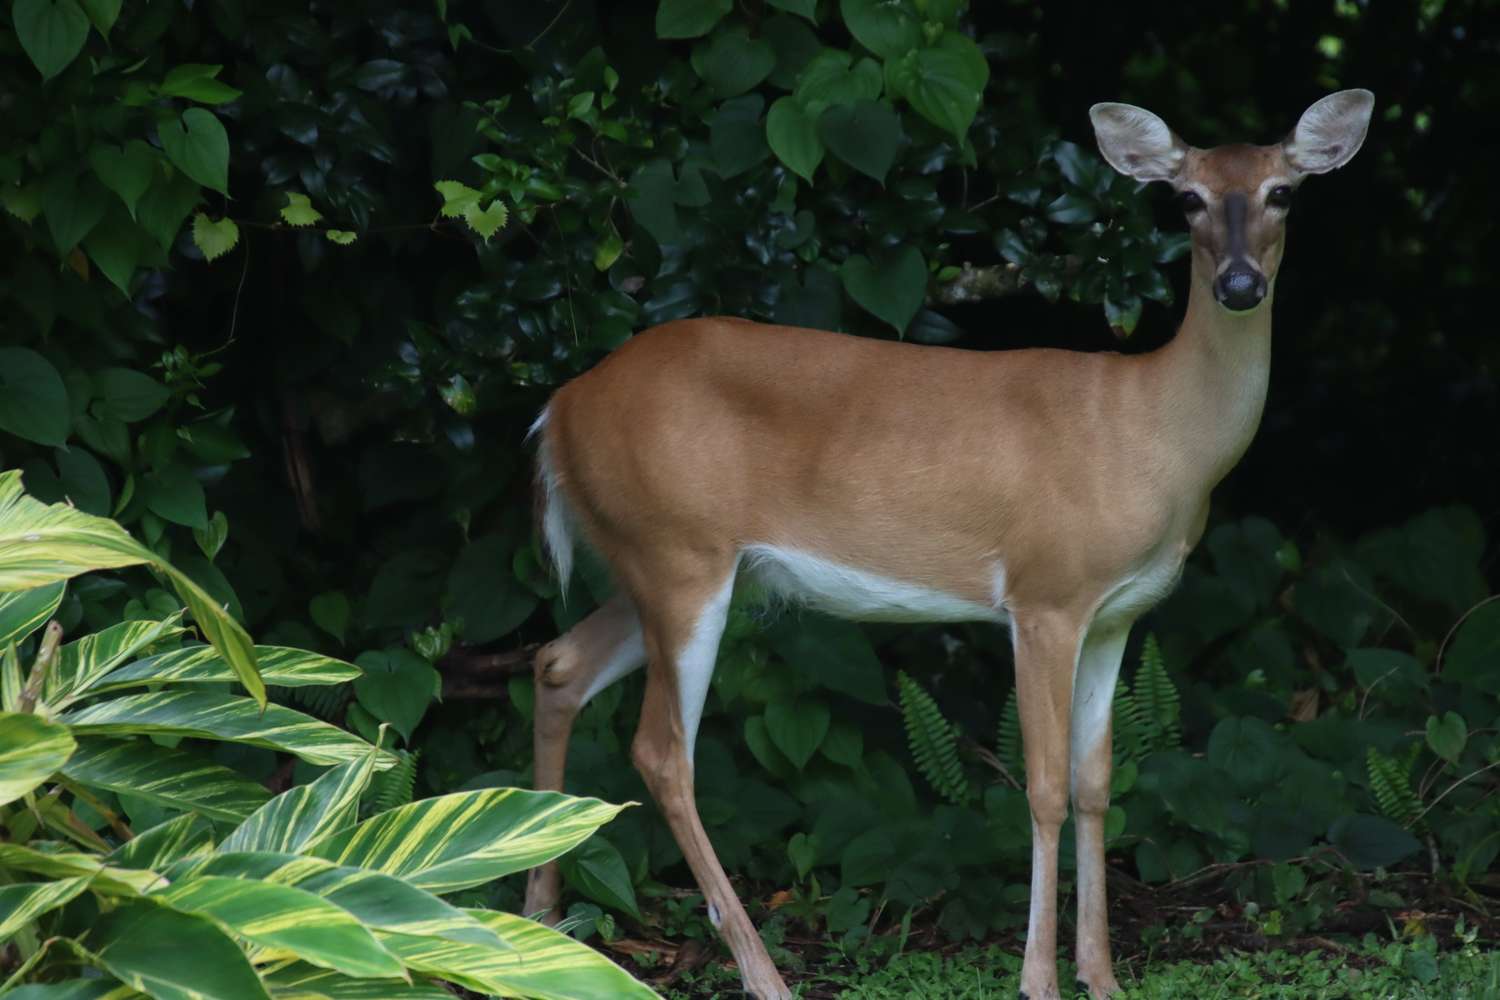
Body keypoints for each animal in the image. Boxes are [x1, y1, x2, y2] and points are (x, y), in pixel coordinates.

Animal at [519, 90, 1374, 999]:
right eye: (1187, 199)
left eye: (1284, 192)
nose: (1240, 284)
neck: (1157, 434)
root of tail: (558, 411)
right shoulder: (1045, 593)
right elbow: (1043, 787)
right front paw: (1039, 980)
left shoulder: (1118, 613)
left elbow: (1097, 783)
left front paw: (1103, 976)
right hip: (680, 554)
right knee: (662, 752)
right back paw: (762, 974)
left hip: (664, 563)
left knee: (559, 664)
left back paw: (539, 925)